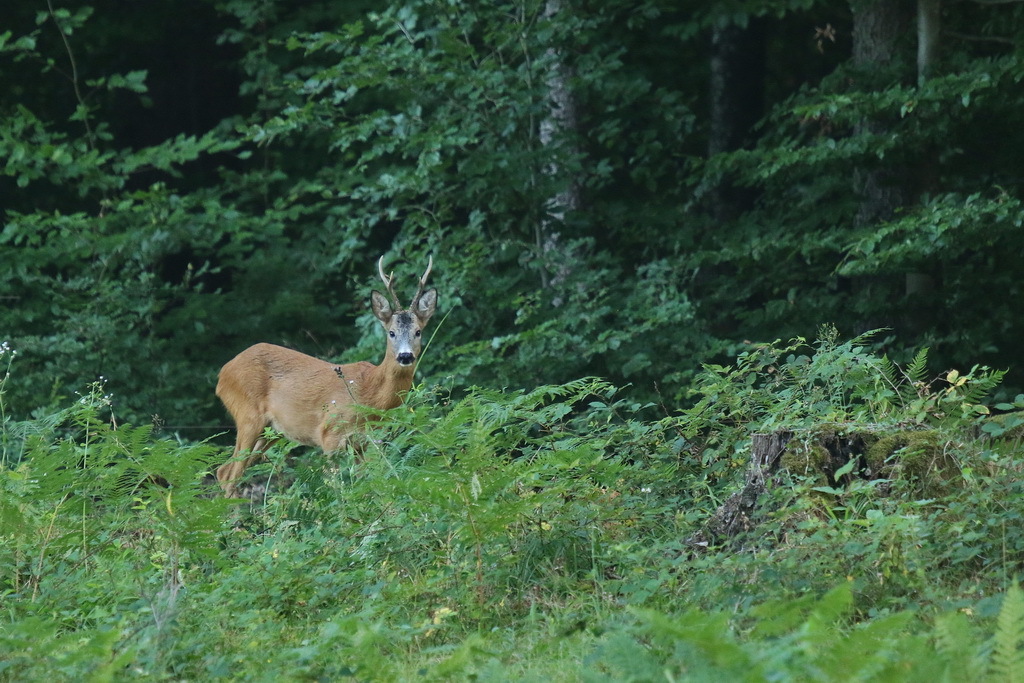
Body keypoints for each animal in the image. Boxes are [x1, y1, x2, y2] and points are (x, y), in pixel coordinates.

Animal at [214, 255, 438, 497]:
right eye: (392, 332)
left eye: (418, 332)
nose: (405, 356)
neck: (370, 393)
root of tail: (223, 372)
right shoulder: (330, 434)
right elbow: (337, 487)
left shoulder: (364, 442)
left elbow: (364, 484)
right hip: (248, 415)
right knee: (230, 474)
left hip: (270, 431)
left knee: (224, 471)